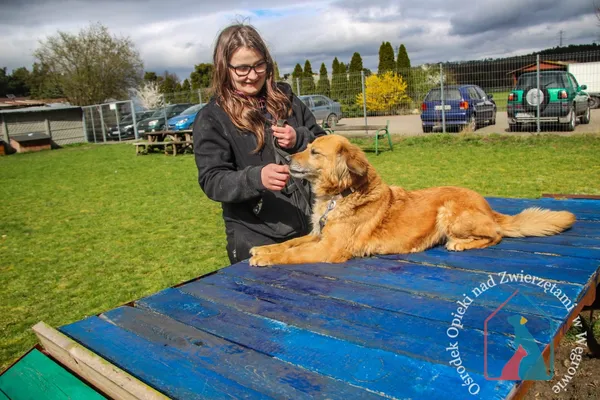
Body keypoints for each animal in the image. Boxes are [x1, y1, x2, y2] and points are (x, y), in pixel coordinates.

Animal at [250, 136, 576, 268]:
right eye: (307, 147)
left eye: (315, 152)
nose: (286, 159)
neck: (341, 194)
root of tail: (487, 206)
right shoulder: (318, 235)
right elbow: (290, 243)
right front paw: (264, 249)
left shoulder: (328, 248)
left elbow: (293, 254)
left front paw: (266, 259)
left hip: (450, 212)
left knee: (495, 234)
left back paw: (461, 244)